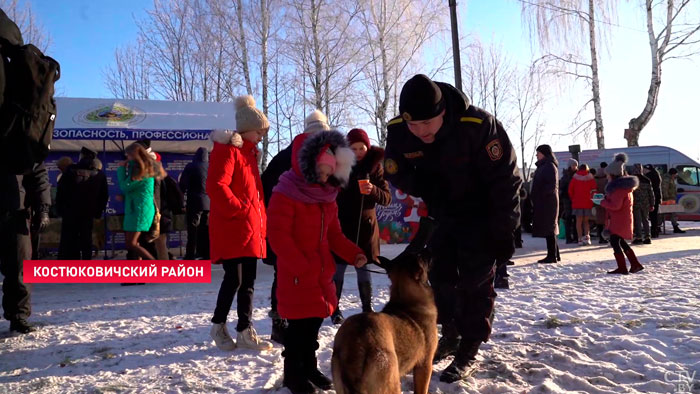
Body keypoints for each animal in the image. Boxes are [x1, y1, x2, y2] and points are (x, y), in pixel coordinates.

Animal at [330, 252, 438, 394]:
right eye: (420, 255)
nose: (430, 251)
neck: (404, 300)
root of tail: (356, 345)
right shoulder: (425, 365)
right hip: (391, 381)